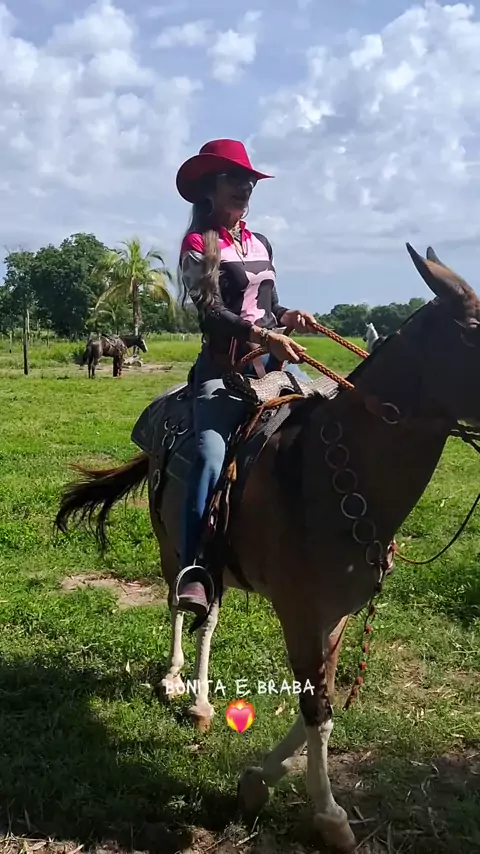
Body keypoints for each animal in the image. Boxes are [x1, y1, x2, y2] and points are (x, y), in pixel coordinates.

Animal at [55, 244, 480, 852]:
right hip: (172, 547)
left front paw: (258, 779)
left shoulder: (334, 616)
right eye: (473, 331)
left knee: (207, 615)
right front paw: (326, 814)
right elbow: (316, 708)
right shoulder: (300, 612)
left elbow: (321, 700)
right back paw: (176, 680)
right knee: (180, 605)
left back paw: (204, 704)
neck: (333, 471)